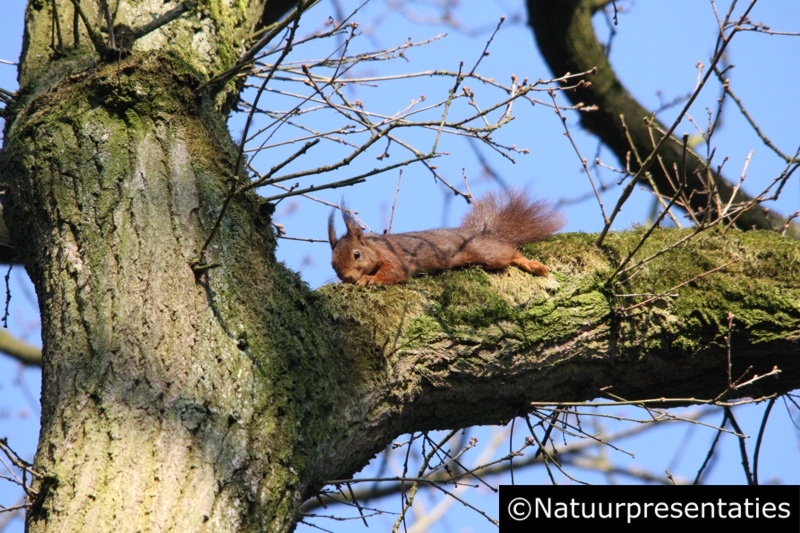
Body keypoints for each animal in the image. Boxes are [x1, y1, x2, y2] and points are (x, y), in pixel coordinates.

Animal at [328, 189, 564, 284]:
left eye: (357, 255)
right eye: (332, 264)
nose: (347, 278)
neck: (375, 248)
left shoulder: (393, 257)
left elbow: (394, 271)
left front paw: (370, 279)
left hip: (486, 253)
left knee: (510, 252)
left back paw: (532, 264)